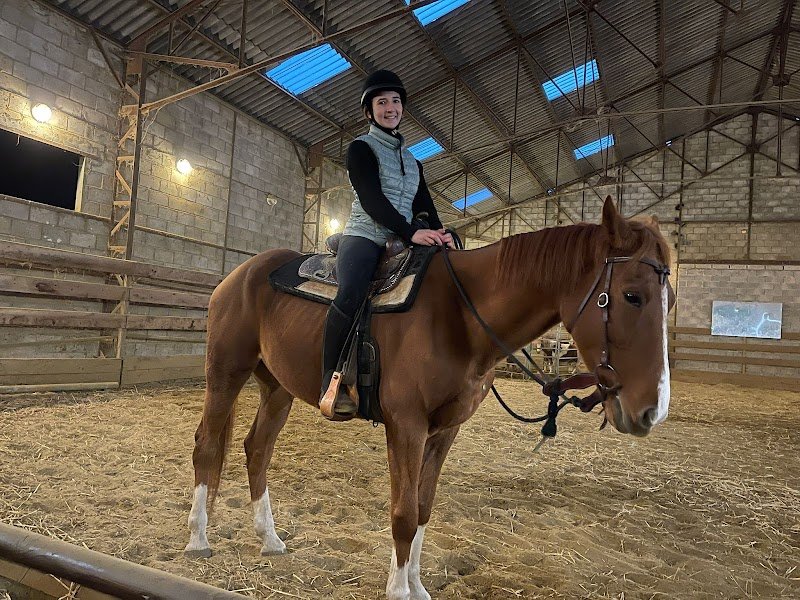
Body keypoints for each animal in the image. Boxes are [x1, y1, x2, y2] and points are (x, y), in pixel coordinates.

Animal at [185, 197, 674, 600]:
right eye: (632, 295)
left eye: (668, 301)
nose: (652, 410)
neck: (459, 314)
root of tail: (240, 275)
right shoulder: (407, 426)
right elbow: (403, 513)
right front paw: (399, 590)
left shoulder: (444, 430)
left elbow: (422, 508)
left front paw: (417, 587)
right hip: (225, 372)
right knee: (207, 446)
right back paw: (198, 541)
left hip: (277, 389)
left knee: (256, 450)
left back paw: (270, 539)